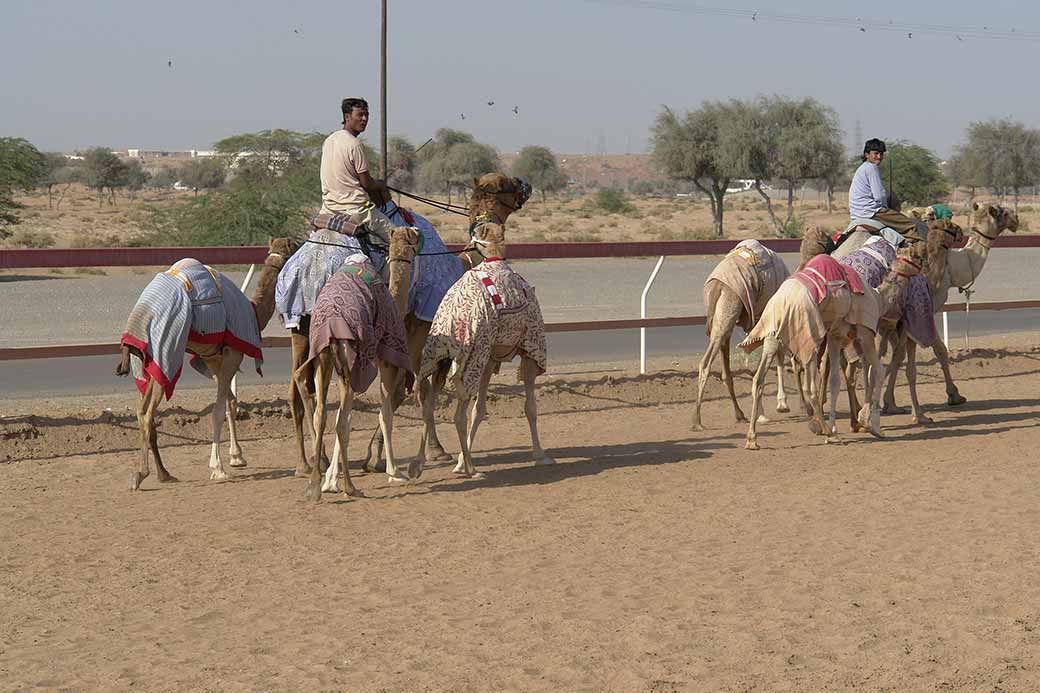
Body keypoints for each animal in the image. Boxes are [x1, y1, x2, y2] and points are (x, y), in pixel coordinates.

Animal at [116, 237, 299, 491]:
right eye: (295, 248)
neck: (253, 313)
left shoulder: (214, 359)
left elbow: (231, 403)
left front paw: (237, 457)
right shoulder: (232, 355)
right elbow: (218, 409)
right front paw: (218, 468)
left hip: (149, 361)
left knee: (143, 411)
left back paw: (164, 473)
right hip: (166, 353)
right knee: (147, 412)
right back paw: (142, 474)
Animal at [295, 226, 420, 501]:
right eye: (413, 237)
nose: (419, 232)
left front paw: (329, 480)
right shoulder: (385, 360)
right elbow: (385, 414)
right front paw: (394, 472)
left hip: (324, 358)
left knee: (319, 408)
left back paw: (314, 485)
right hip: (348, 359)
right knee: (341, 421)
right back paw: (350, 487)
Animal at [413, 222, 553, 480]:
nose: (466, 248)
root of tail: (451, 319)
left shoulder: (489, 357)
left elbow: (479, 410)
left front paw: (460, 459)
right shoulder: (530, 348)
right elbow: (530, 407)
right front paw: (541, 455)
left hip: (439, 357)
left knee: (429, 405)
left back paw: (419, 465)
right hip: (469, 358)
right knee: (457, 412)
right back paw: (471, 469)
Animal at [694, 228, 832, 428]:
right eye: (827, 237)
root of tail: (716, 285)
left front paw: (771, 409)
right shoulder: (776, 321)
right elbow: (781, 357)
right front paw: (783, 405)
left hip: (723, 317)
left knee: (725, 367)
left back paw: (739, 413)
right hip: (729, 308)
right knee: (706, 363)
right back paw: (697, 420)